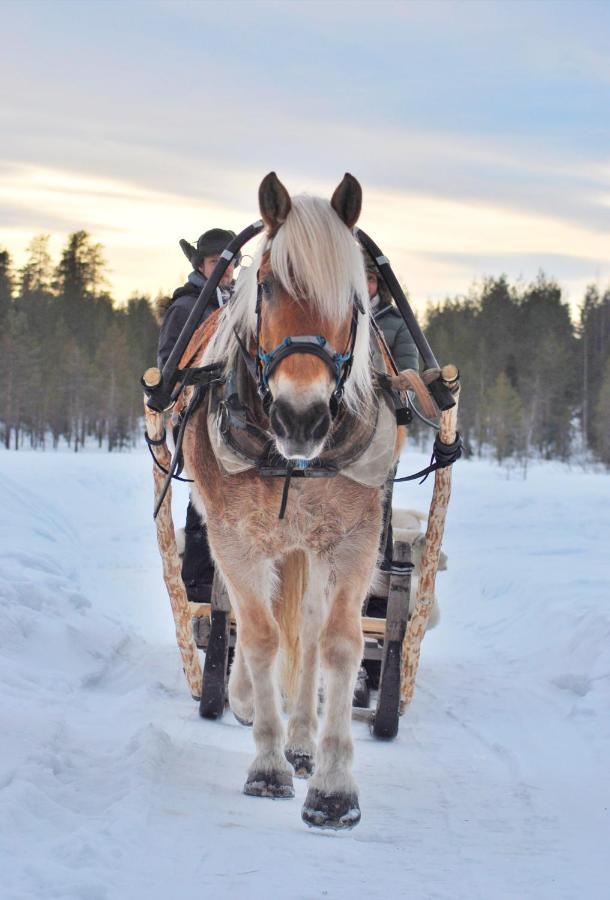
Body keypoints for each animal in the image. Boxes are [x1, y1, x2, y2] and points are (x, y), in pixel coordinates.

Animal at [183, 171, 406, 828]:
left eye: (355, 297)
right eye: (267, 283)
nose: (301, 417)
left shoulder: (354, 539)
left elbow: (337, 642)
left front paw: (332, 784)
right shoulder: (232, 534)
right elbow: (258, 637)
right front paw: (267, 765)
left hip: (310, 545)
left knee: (306, 629)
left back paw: (303, 740)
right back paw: (250, 707)